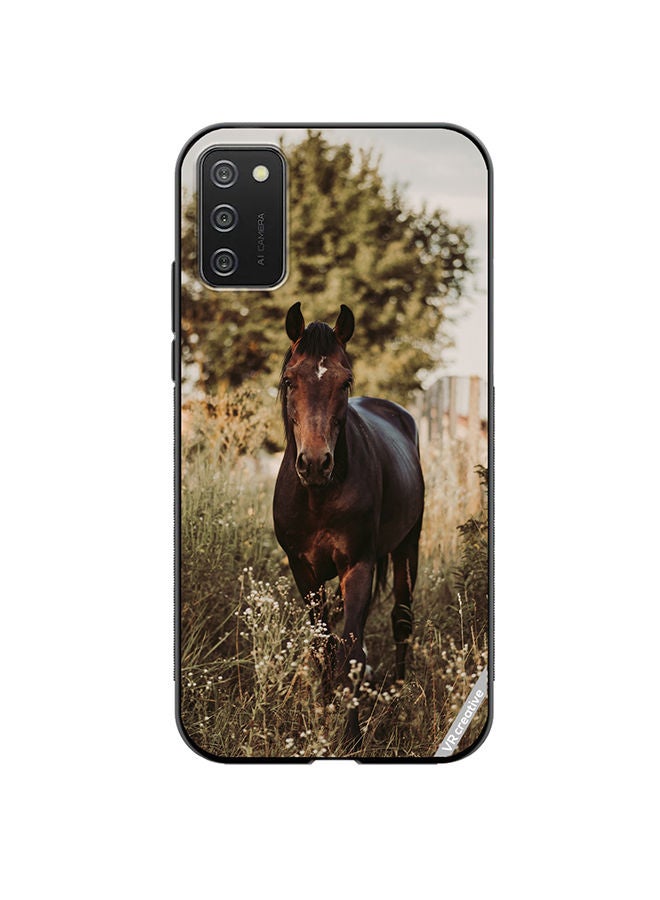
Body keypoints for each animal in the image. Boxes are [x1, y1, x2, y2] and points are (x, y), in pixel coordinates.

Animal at [273, 302, 425, 749]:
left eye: (346, 382)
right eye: (289, 380)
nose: (315, 463)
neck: (318, 496)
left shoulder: (358, 565)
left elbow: (353, 653)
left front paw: (352, 736)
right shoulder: (303, 571)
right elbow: (323, 647)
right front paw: (323, 716)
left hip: (407, 546)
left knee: (402, 620)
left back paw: (398, 696)